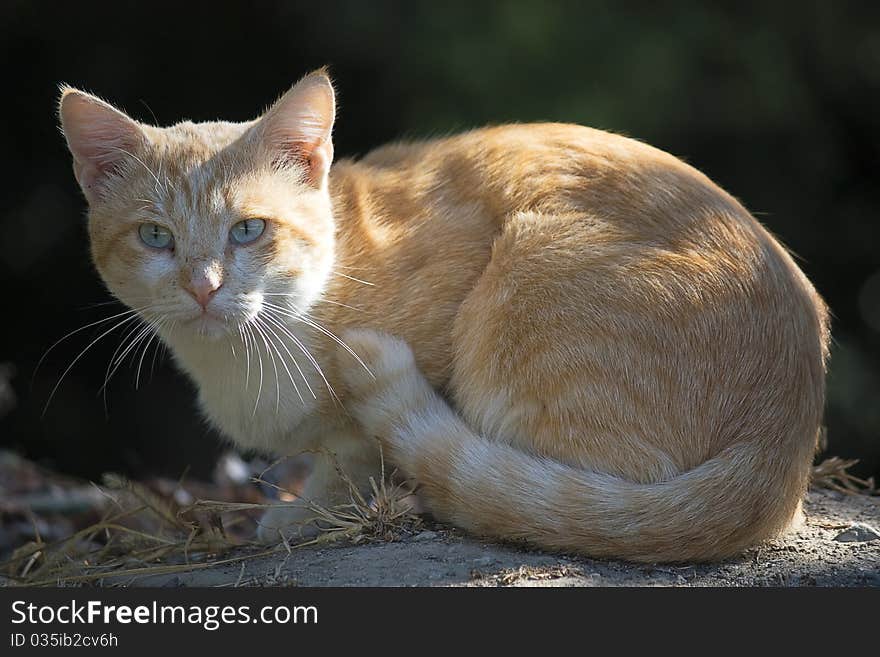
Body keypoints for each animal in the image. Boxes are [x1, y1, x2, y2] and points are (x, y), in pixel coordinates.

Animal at [58, 73, 828, 564]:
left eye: (249, 230)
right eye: (155, 236)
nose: (204, 287)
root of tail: (784, 438)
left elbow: (356, 450)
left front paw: (307, 511)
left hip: (522, 288)